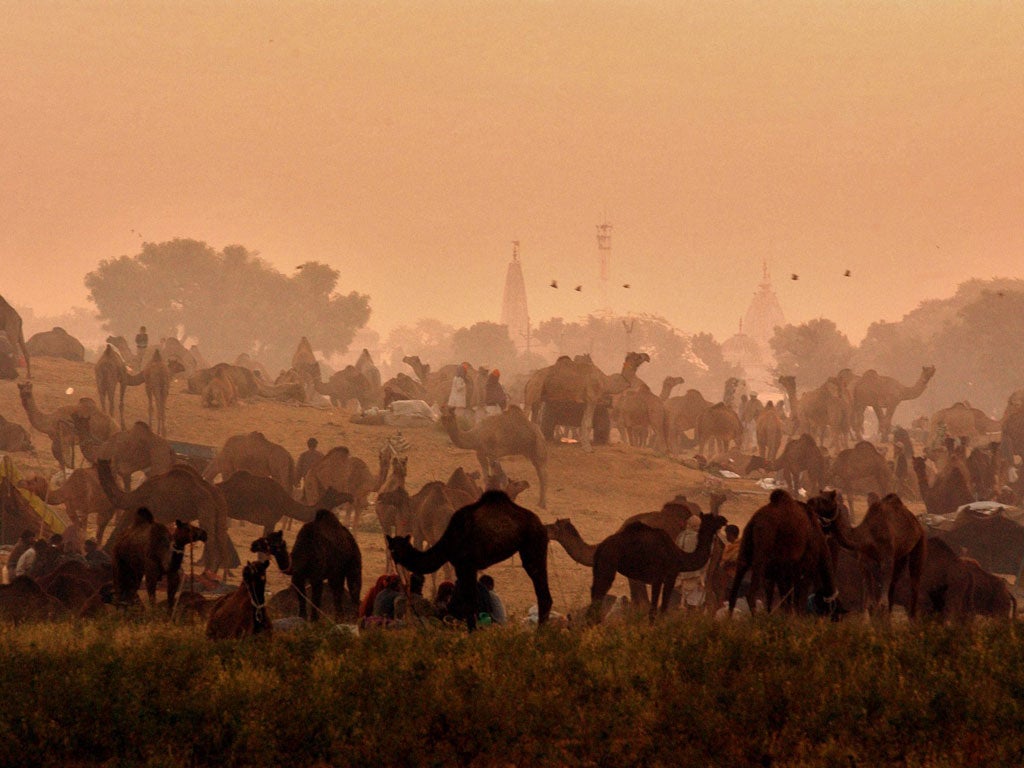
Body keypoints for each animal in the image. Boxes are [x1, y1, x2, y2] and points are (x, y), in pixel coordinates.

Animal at [97, 459, 239, 575]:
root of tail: (214, 492)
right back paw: (219, 577)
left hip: (205, 506)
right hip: (220, 507)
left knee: (211, 539)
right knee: (221, 537)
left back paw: (207, 574)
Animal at [386, 489, 552, 631]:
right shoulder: (466, 567)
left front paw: (472, 632)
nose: (394, 556)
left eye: (396, 548)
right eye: (391, 546)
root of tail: (541, 525)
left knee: (542, 591)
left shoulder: (466, 564)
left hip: (533, 543)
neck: (450, 540)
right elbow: (470, 599)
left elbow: (469, 601)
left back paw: (540, 634)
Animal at [587, 511, 727, 623]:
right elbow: (659, 609)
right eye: (713, 518)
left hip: (599, 568)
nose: (724, 519)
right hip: (608, 566)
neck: (680, 557)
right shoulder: (665, 577)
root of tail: (602, 546)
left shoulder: (661, 579)